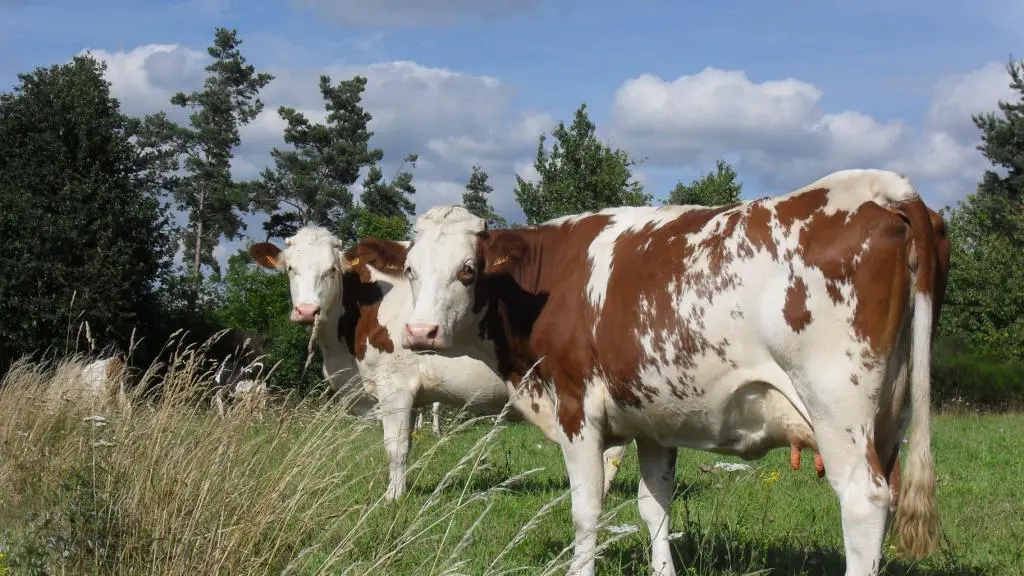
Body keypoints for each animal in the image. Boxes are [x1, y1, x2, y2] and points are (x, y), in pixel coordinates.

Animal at [248, 226, 629, 500]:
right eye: (291, 269)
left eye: (330, 270)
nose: (306, 311)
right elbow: (409, 443)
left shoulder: (394, 387)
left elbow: (396, 447)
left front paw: (392, 499)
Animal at [385, 169, 943, 576]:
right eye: (410, 269)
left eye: (467, 270)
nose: (419, 331)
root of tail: (879, 185)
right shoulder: (655, 420)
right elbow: (655, 508)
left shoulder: (576, 409)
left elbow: (586, 510)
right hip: (887, 416)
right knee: (888, 495)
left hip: (836, 405)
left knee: (864, 503)